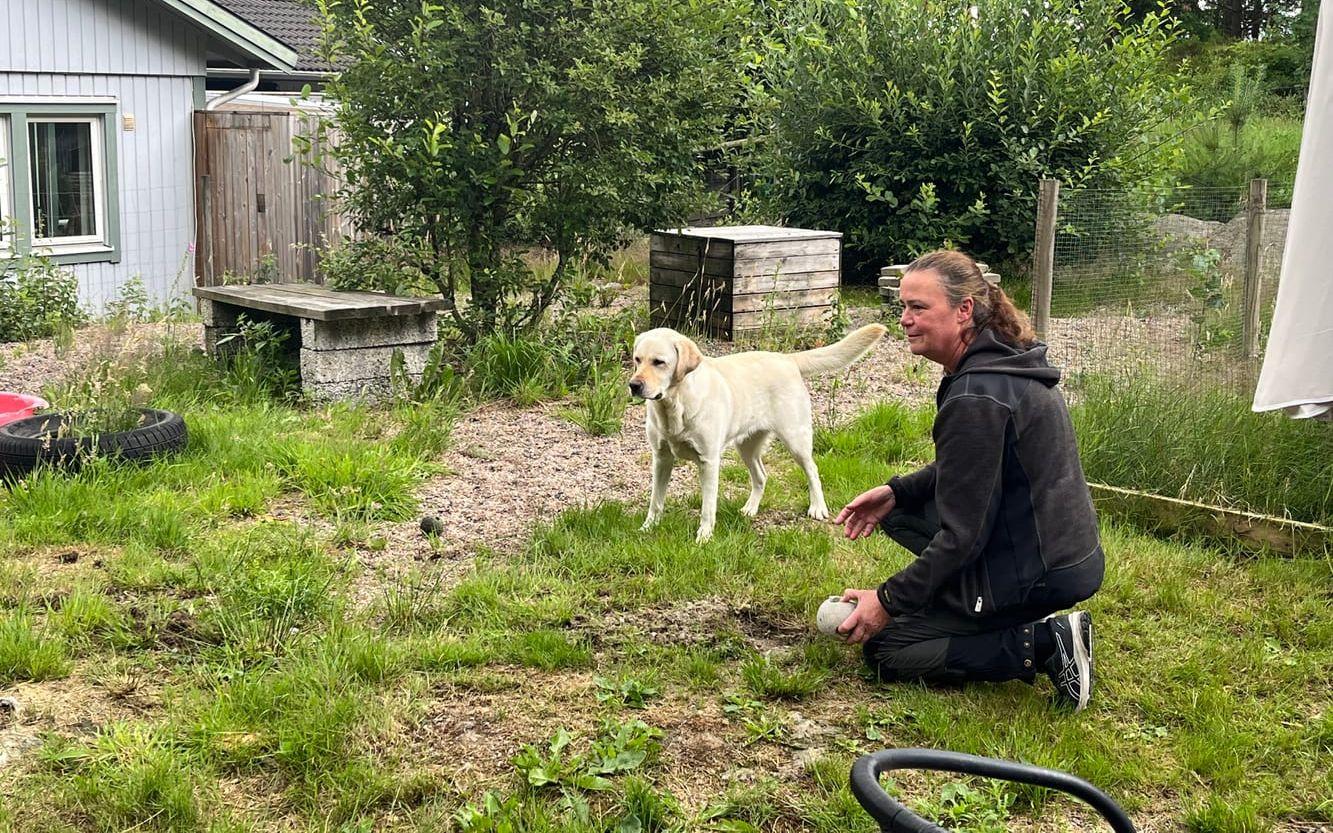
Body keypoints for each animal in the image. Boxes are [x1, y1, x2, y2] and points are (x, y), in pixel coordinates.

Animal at [631, 321, 890, 543]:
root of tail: (787, 358)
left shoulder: (709, 461)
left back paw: (817, 507)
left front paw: (704, 536)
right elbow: (656, 500)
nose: (633, 385)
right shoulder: (662, 458)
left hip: (795, 439)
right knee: (761, 476)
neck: (675, 405)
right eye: (637, 359)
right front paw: (648, 527)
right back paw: (750, 508)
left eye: (659, 362)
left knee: (812, 470)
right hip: (746, 446)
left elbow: (707, 507)